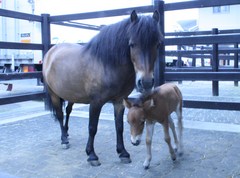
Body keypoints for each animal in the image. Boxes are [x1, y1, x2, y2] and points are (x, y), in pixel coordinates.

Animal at [43, 10, 163, 166]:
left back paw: (67, 133)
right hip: (54, 95)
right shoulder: (96, 103)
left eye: (158, 44)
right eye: (132, 44)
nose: (146, 82)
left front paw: (123, 153)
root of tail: (51, 52)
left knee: (68, 111)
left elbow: (119, 126)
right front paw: (92, 155)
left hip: (71, 95)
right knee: (60, 114)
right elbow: (92, 127)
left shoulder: (119, 101)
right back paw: (64, 140)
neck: (106, 64)